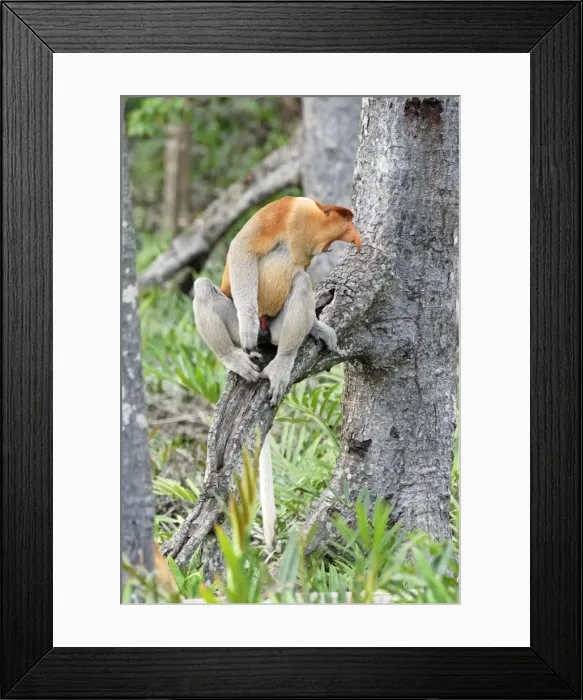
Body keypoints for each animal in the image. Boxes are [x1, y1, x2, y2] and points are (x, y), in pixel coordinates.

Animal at [192, 195, 361, 550]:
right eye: (346, 222)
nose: (355, 238)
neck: (307, 224)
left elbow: (301, 278)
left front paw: (320, 328)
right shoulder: (285, 208)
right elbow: (242, 247)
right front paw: (247, 323)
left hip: (277, 328)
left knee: (300, 283)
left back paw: (284, 359)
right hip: (237, 319)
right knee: (203, 287)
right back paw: (236, 354)